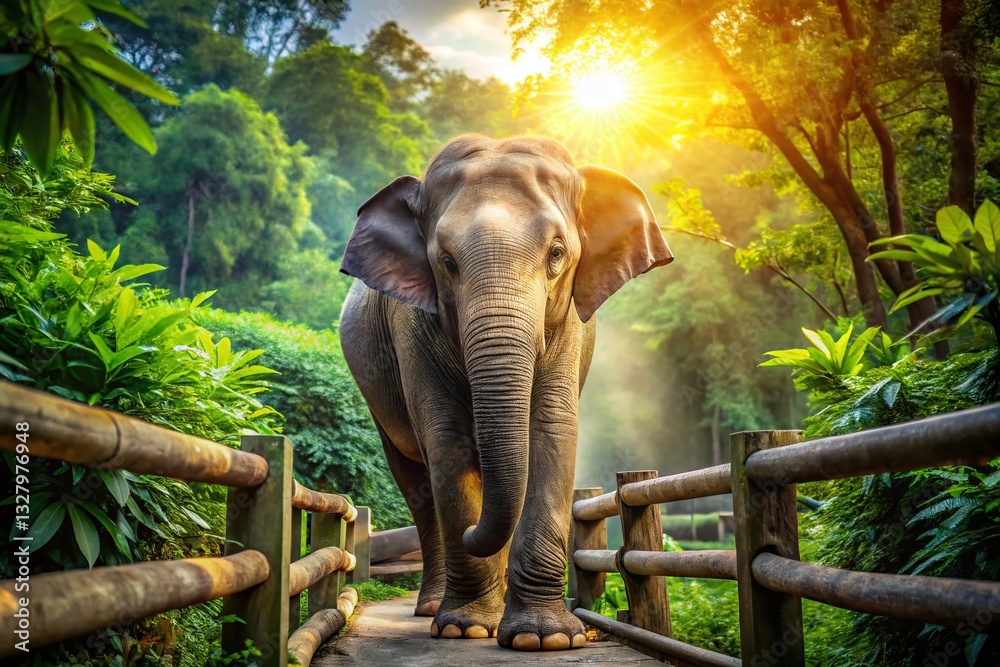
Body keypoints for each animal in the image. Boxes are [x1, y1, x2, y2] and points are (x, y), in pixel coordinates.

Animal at [338, 134, 673, 651]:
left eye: (557, 253)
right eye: (446, 262)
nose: (472, 533)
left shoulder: (568, 326)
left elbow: (551, 431)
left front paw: (543, 638)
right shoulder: (411, 327)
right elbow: (448, 442)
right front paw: (466, 628)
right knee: (416, 482)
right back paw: (436, 608)